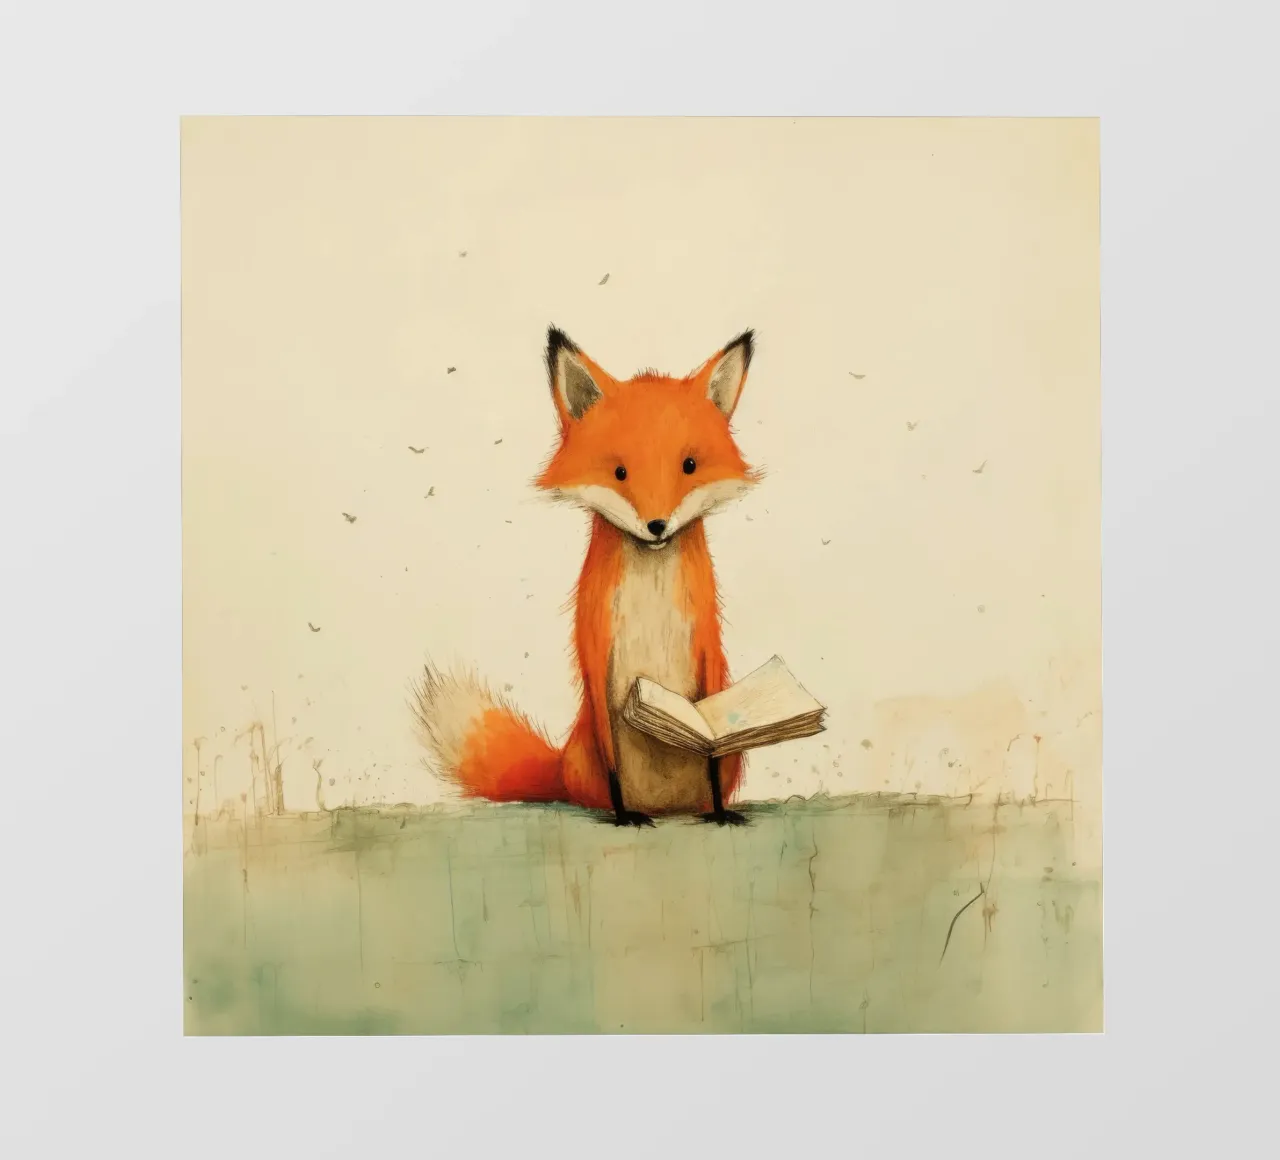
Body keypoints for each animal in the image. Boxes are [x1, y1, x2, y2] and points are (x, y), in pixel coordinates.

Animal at [412, 326, 762, 826]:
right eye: (619, 472)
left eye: (689, 466)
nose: (657, 525)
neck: (651, 593)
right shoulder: (597, 650)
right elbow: (612, 755)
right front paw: (623, 816)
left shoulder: (707, 644)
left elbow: (711, 745)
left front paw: (719, 813)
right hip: (584, 757)